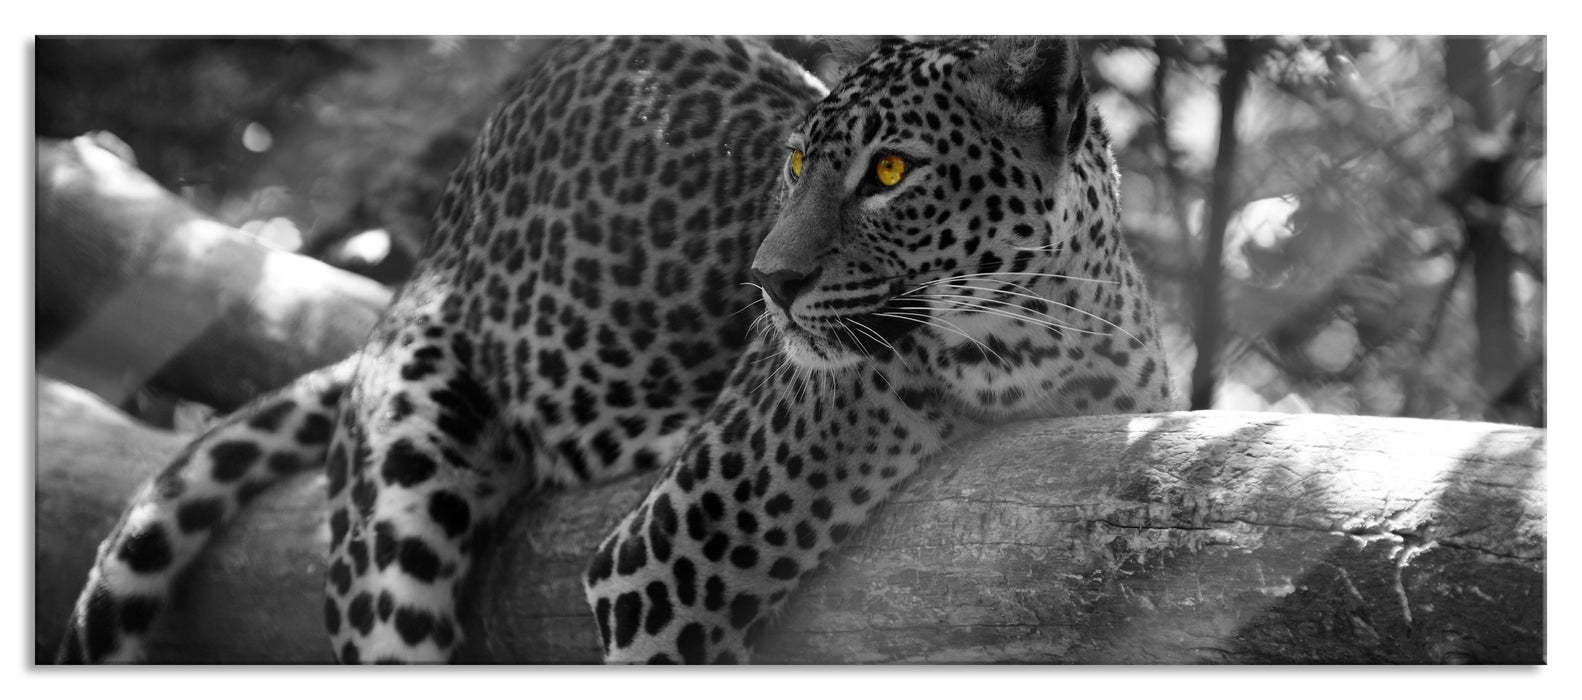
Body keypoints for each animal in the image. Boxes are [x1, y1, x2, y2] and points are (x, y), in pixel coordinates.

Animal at [56, 34, 1177, 664]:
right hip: (401, 491)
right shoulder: (663, 566)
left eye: (891, 172)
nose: (768, 282)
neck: (1040, 336)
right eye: (795, 167)